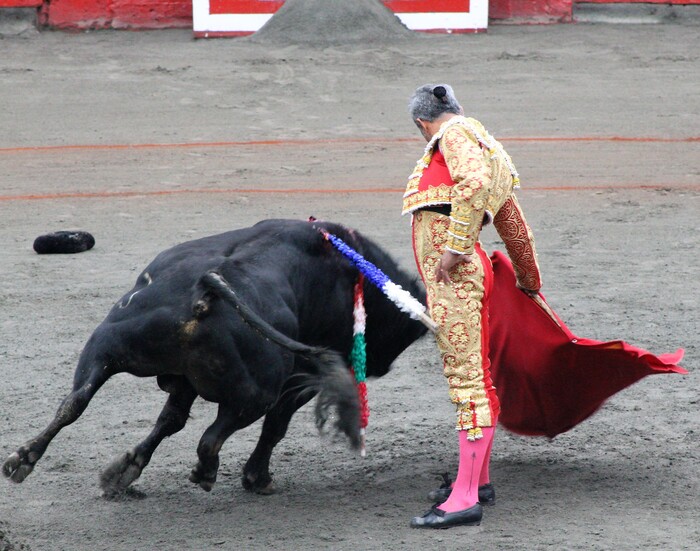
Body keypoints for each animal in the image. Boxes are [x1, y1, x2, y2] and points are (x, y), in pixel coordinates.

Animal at [3, 218, 428, 496]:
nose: (382, 365)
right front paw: (257, 478)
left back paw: (23, 460)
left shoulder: (183, 381)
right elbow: (275, 427)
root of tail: (206, 289)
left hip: (104, 344)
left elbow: (169, 420)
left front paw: (125, 470)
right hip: (255, 395)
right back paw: (206, 473)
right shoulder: (300, 381)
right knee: (212, 438)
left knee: (74, 401)